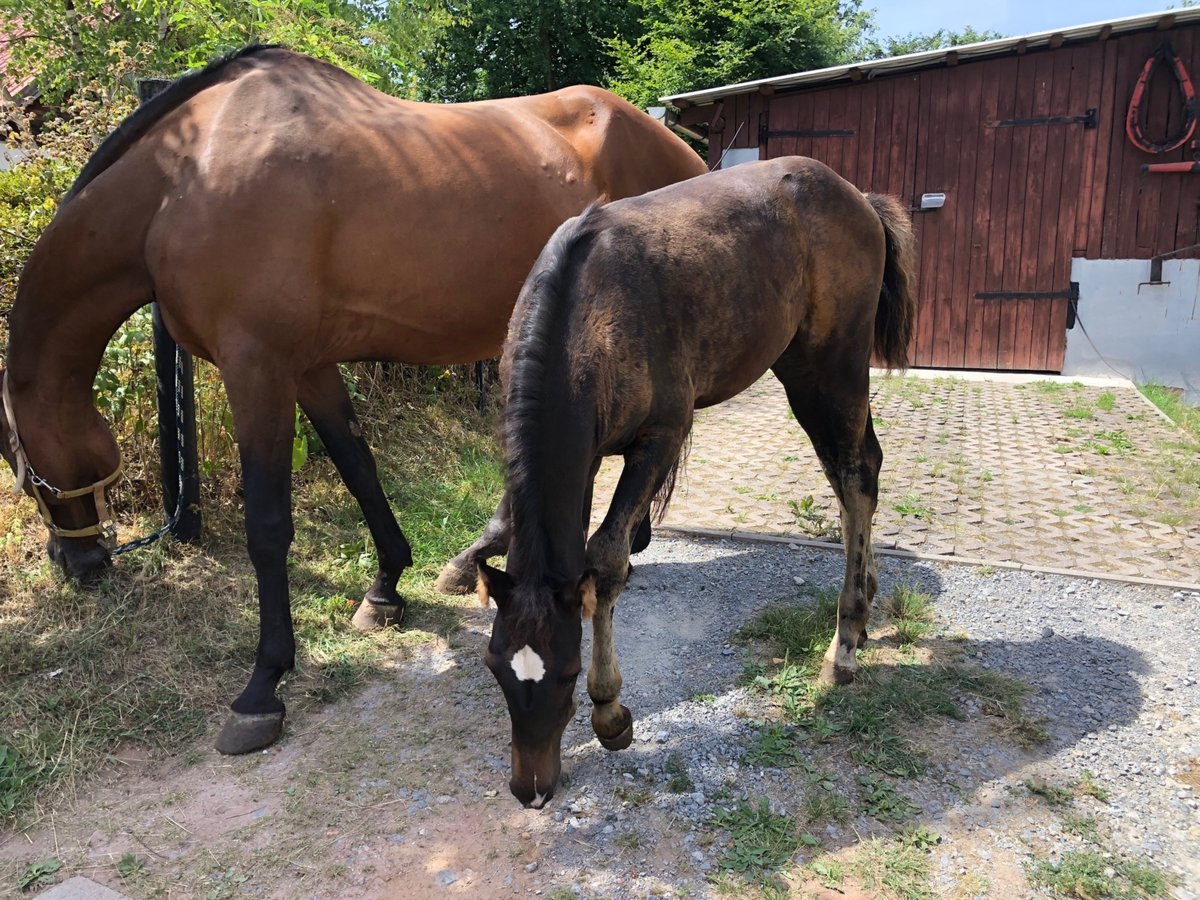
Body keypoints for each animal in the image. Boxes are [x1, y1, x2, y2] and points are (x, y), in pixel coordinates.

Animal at [0, 45, 705, 758]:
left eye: (17, 460)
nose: (77, 562)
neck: (185, 176)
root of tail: (684, 150)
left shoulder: (256, 368)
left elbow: (268, 526)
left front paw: (263, 687)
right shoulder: (309, 367)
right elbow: (358, 466)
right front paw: (386, 587)